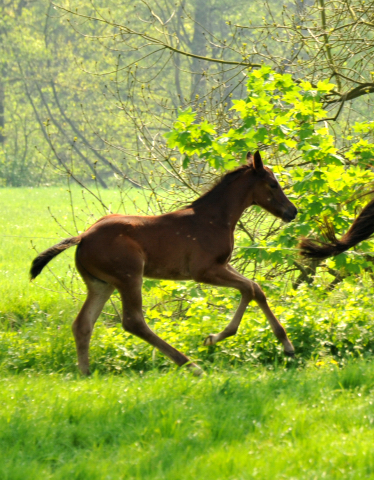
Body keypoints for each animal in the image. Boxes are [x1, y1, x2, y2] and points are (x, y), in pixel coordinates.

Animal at [29, 151, 298, 376]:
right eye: (273, 184)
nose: (292, 211)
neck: (215, 218)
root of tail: (83, 237)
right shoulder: (205, 271)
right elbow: (249, 288)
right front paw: (215, 338)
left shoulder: (223, 266)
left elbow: (256, 289)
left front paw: (287, 345)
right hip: (129, 277)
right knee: (133, 321)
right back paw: (191, 365)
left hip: (101, 284)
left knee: (83, 324)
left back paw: (85, 373)